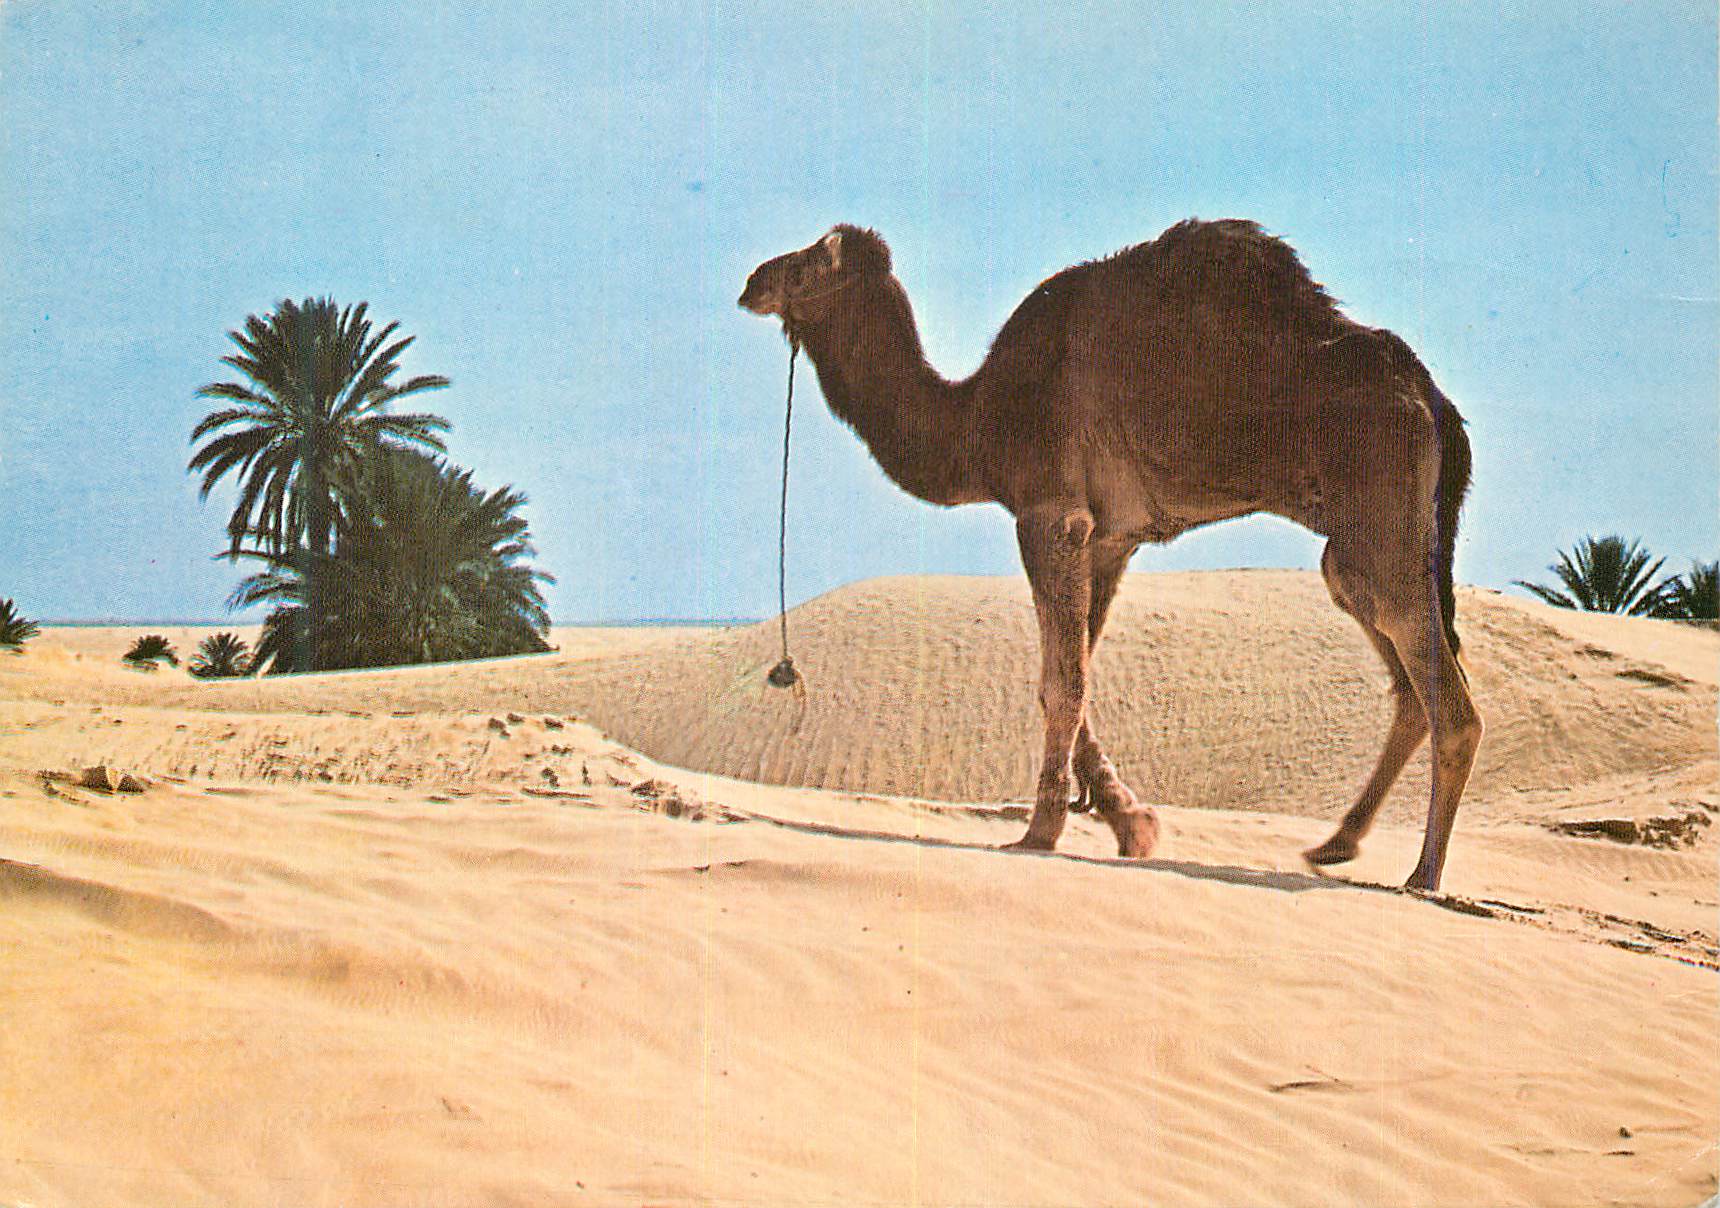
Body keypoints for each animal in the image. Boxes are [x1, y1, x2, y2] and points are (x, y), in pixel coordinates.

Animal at [739, 220, 1481, 892]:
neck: (977, 418)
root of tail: (1432, 398)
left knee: (1444, 693)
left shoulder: (1048, 514)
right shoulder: (1109, 538)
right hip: (1370, 539)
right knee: (1394, 658)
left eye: (806, 265)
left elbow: (1060, 681)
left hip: (1379, 503)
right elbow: (1080, 670)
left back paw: (1423, 875)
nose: (751, 283)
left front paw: (1041, 832)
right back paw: (1336, 844)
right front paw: (1130, 821)